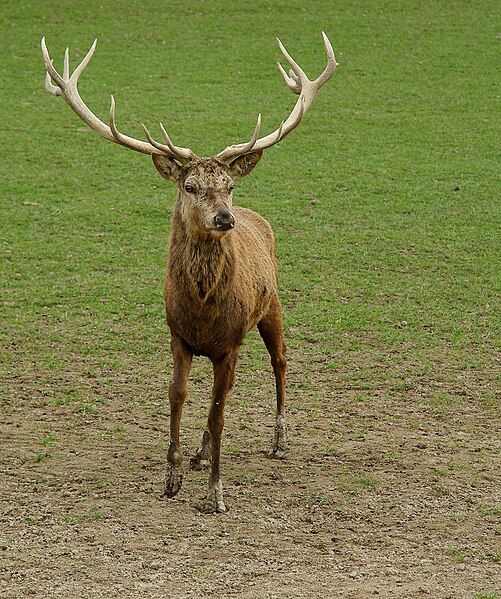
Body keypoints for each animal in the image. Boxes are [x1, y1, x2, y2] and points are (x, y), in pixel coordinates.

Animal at [41, 31, 338, 510]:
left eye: (229, 185)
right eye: (189, 185)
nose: (224, 218)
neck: (200, 310)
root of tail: (257, 219)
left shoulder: (228, 342)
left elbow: (218, 414)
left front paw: (216, 492)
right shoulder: (178, 335)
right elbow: (178, 397)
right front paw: (172, 476)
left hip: (272, 305)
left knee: (279, 361)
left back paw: (278, 440)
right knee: (233, 387)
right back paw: (201, 453)